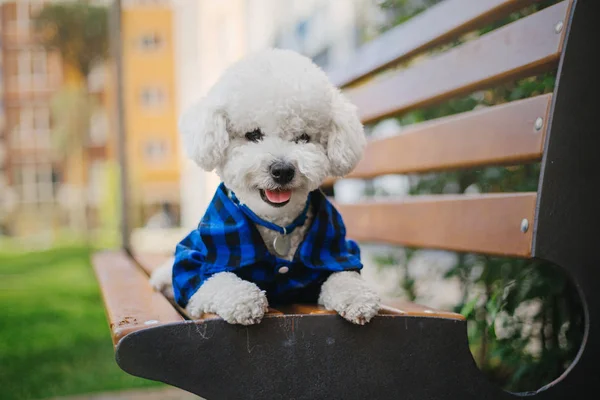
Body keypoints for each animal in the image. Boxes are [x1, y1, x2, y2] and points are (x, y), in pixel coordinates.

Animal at [152, 48, 382, 326]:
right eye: (253, 135)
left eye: (303, 137)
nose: (282, 170)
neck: (277, 226)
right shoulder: (196, 264)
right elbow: (215, 279)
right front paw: (244, 299)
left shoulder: (335, 252)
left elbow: (344, 276)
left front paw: (357, 297)